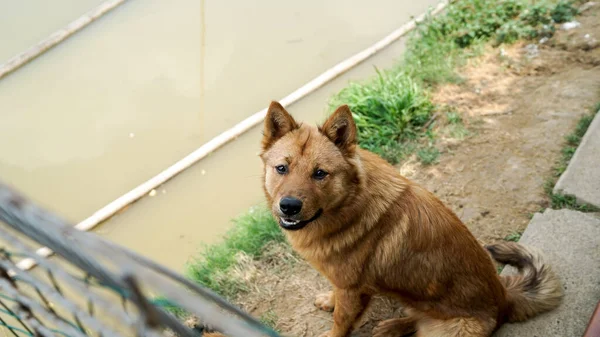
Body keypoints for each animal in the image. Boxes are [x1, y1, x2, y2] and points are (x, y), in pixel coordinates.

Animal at [258, 101, 564, 334]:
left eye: (320, 173)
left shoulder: (352, 292)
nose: (288, 206)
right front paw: (328, 300)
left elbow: (340, 324)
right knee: (415, 317)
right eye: (282, 168)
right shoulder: (344, 285)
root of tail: (504, 298)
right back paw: (391, 326)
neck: (351, 203)